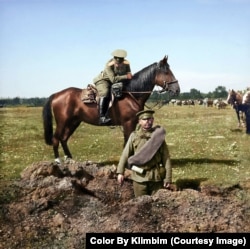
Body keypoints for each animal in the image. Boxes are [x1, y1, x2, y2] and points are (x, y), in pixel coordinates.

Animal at [42, 55, 180, 162]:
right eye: (166, 72)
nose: (177, 89)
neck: (131, 94)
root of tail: (56, 94)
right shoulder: (128, 123)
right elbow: (127, 143)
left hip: (74, 122)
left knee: (64, 139)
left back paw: (69, 159)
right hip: (62, 122)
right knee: (56, 139)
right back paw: (58, 161)